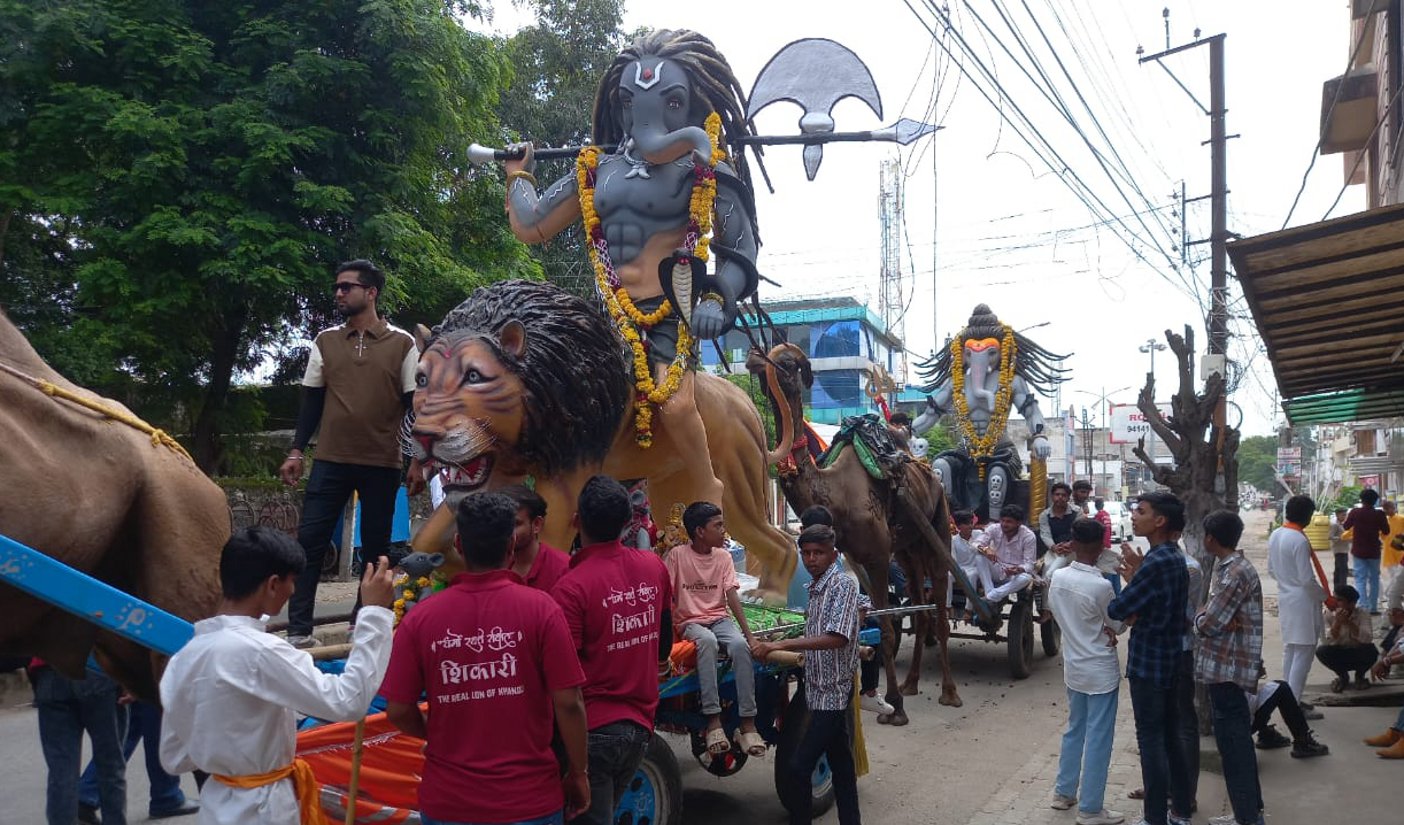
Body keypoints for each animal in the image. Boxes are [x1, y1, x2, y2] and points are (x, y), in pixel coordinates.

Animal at [746, 340, 965, 723]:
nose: (754, 359)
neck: (836, 494)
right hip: (907, 550)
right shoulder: (856, 557)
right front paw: (891, 696)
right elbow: (872, 625)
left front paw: (895, 707)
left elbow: (887, 631)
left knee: (939, 608)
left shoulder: (876, 557)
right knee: (920, 606)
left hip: (939, 524)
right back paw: (911, 683)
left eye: (786, 362)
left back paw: (949, 692)